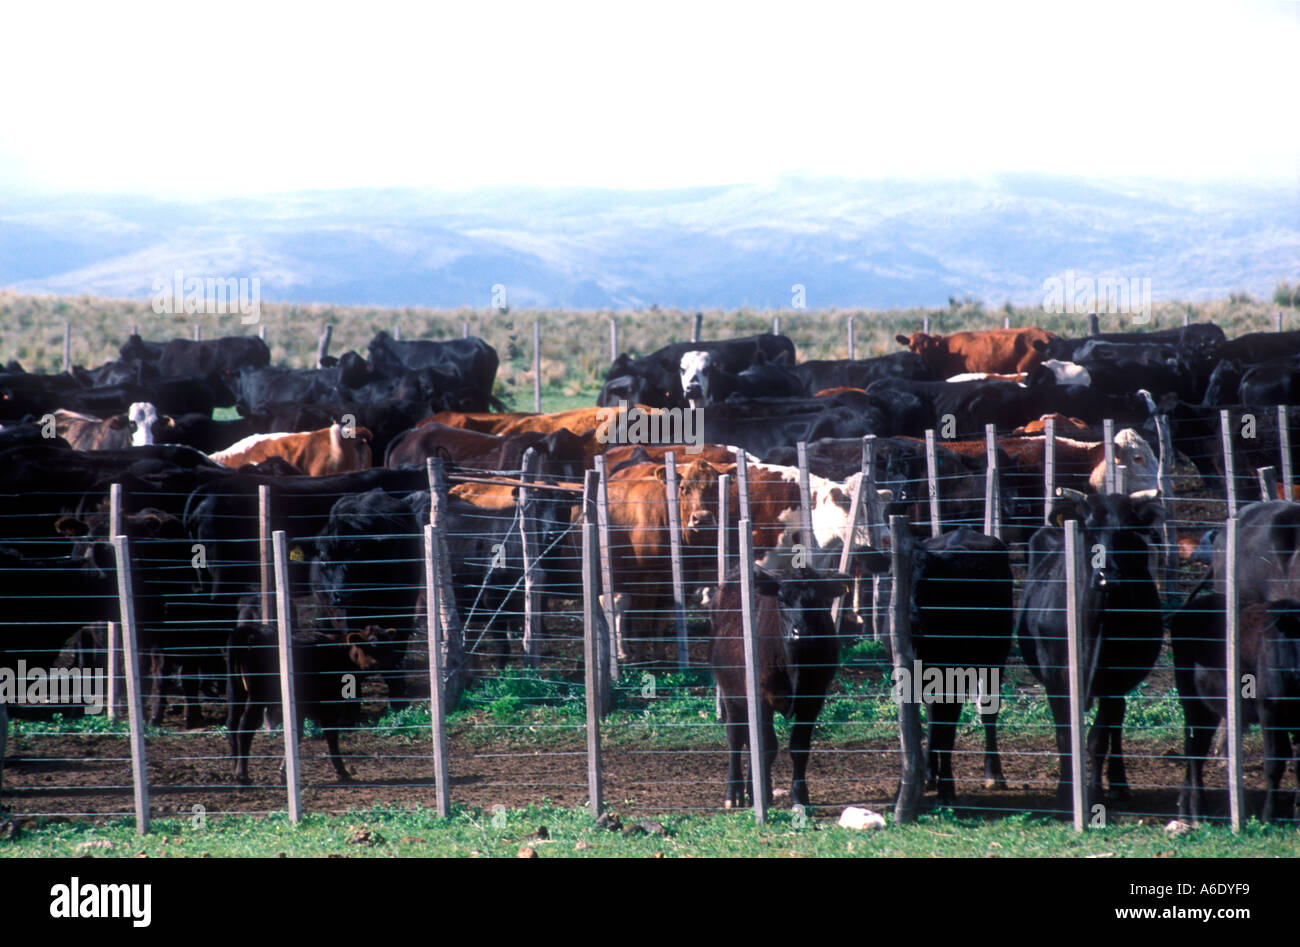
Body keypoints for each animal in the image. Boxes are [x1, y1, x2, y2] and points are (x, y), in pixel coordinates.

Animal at [225, 623, 400, 783]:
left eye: (390, 643)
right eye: (374, 643)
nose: (394, 663)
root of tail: (248, 629)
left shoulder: (301, 707)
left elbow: (297, 735)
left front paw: (284, 772)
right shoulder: (328, 705)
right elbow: (331, 736)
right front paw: (342, 771)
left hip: (236, 691)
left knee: (232, 723)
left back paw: (234, 766)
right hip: (257, 696)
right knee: (245, 727)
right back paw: (242, 774)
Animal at [708, 566, 850, 808]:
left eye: (816, 600)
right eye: (781, 600)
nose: (800, 632)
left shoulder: (813, 700)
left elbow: (799, 747)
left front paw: (799, 796)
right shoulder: (762, 698)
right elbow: (767, 747)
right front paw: (762, 796)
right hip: (730, 692)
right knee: (735, 737)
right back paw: (734, 794)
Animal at [1016, 489, 1165, 808]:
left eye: (1126, 531)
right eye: (1089, 530)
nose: (1108, 577)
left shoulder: (1115, 679)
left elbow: (1098, 738)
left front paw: (1095, 793)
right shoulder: (1055, 679)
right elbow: (1065, 735)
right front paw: (1064, 793)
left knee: (1116, 723)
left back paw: (1119, 783)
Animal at [1169, 593, 1300, 822]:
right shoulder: (1269, 710)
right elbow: (1274, 764)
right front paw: (1268, 816)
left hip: (1209, 708)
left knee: (1198, 745)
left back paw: (1184, 807)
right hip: (1192, 701)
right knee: (1194, 750)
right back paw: (1197, 810)